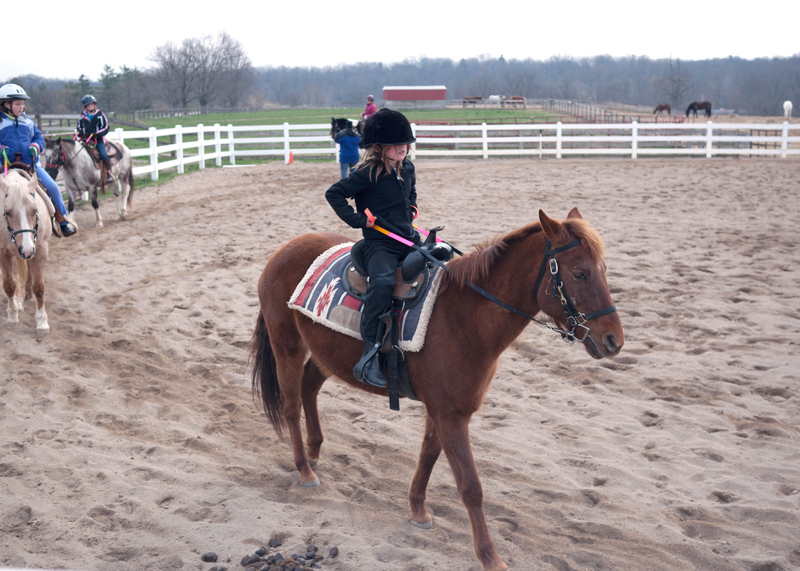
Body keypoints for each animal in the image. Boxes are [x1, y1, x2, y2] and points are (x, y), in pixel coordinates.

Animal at [0, 170, 53, 336]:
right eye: (8, 212)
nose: (27, 249)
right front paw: (12, 316)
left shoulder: (40, 250)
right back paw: (18, 301)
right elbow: (9, 284)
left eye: (35, 211)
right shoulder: (3, 253)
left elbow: (39, 287)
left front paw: (42, 323)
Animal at [249, 208, 624, 571]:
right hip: (286, 345)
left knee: (309, 388)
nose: (614, 340)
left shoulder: (445, 410)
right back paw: (304, 469)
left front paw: (418, 510)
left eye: (603, 270)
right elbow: (471, 486)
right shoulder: (450, 415)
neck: (464, 317)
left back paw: (314, 450)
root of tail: (286, 248)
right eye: (580, 274)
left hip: (325, 354)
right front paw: (489, 556)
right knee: (291, 405)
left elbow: (428, 456)